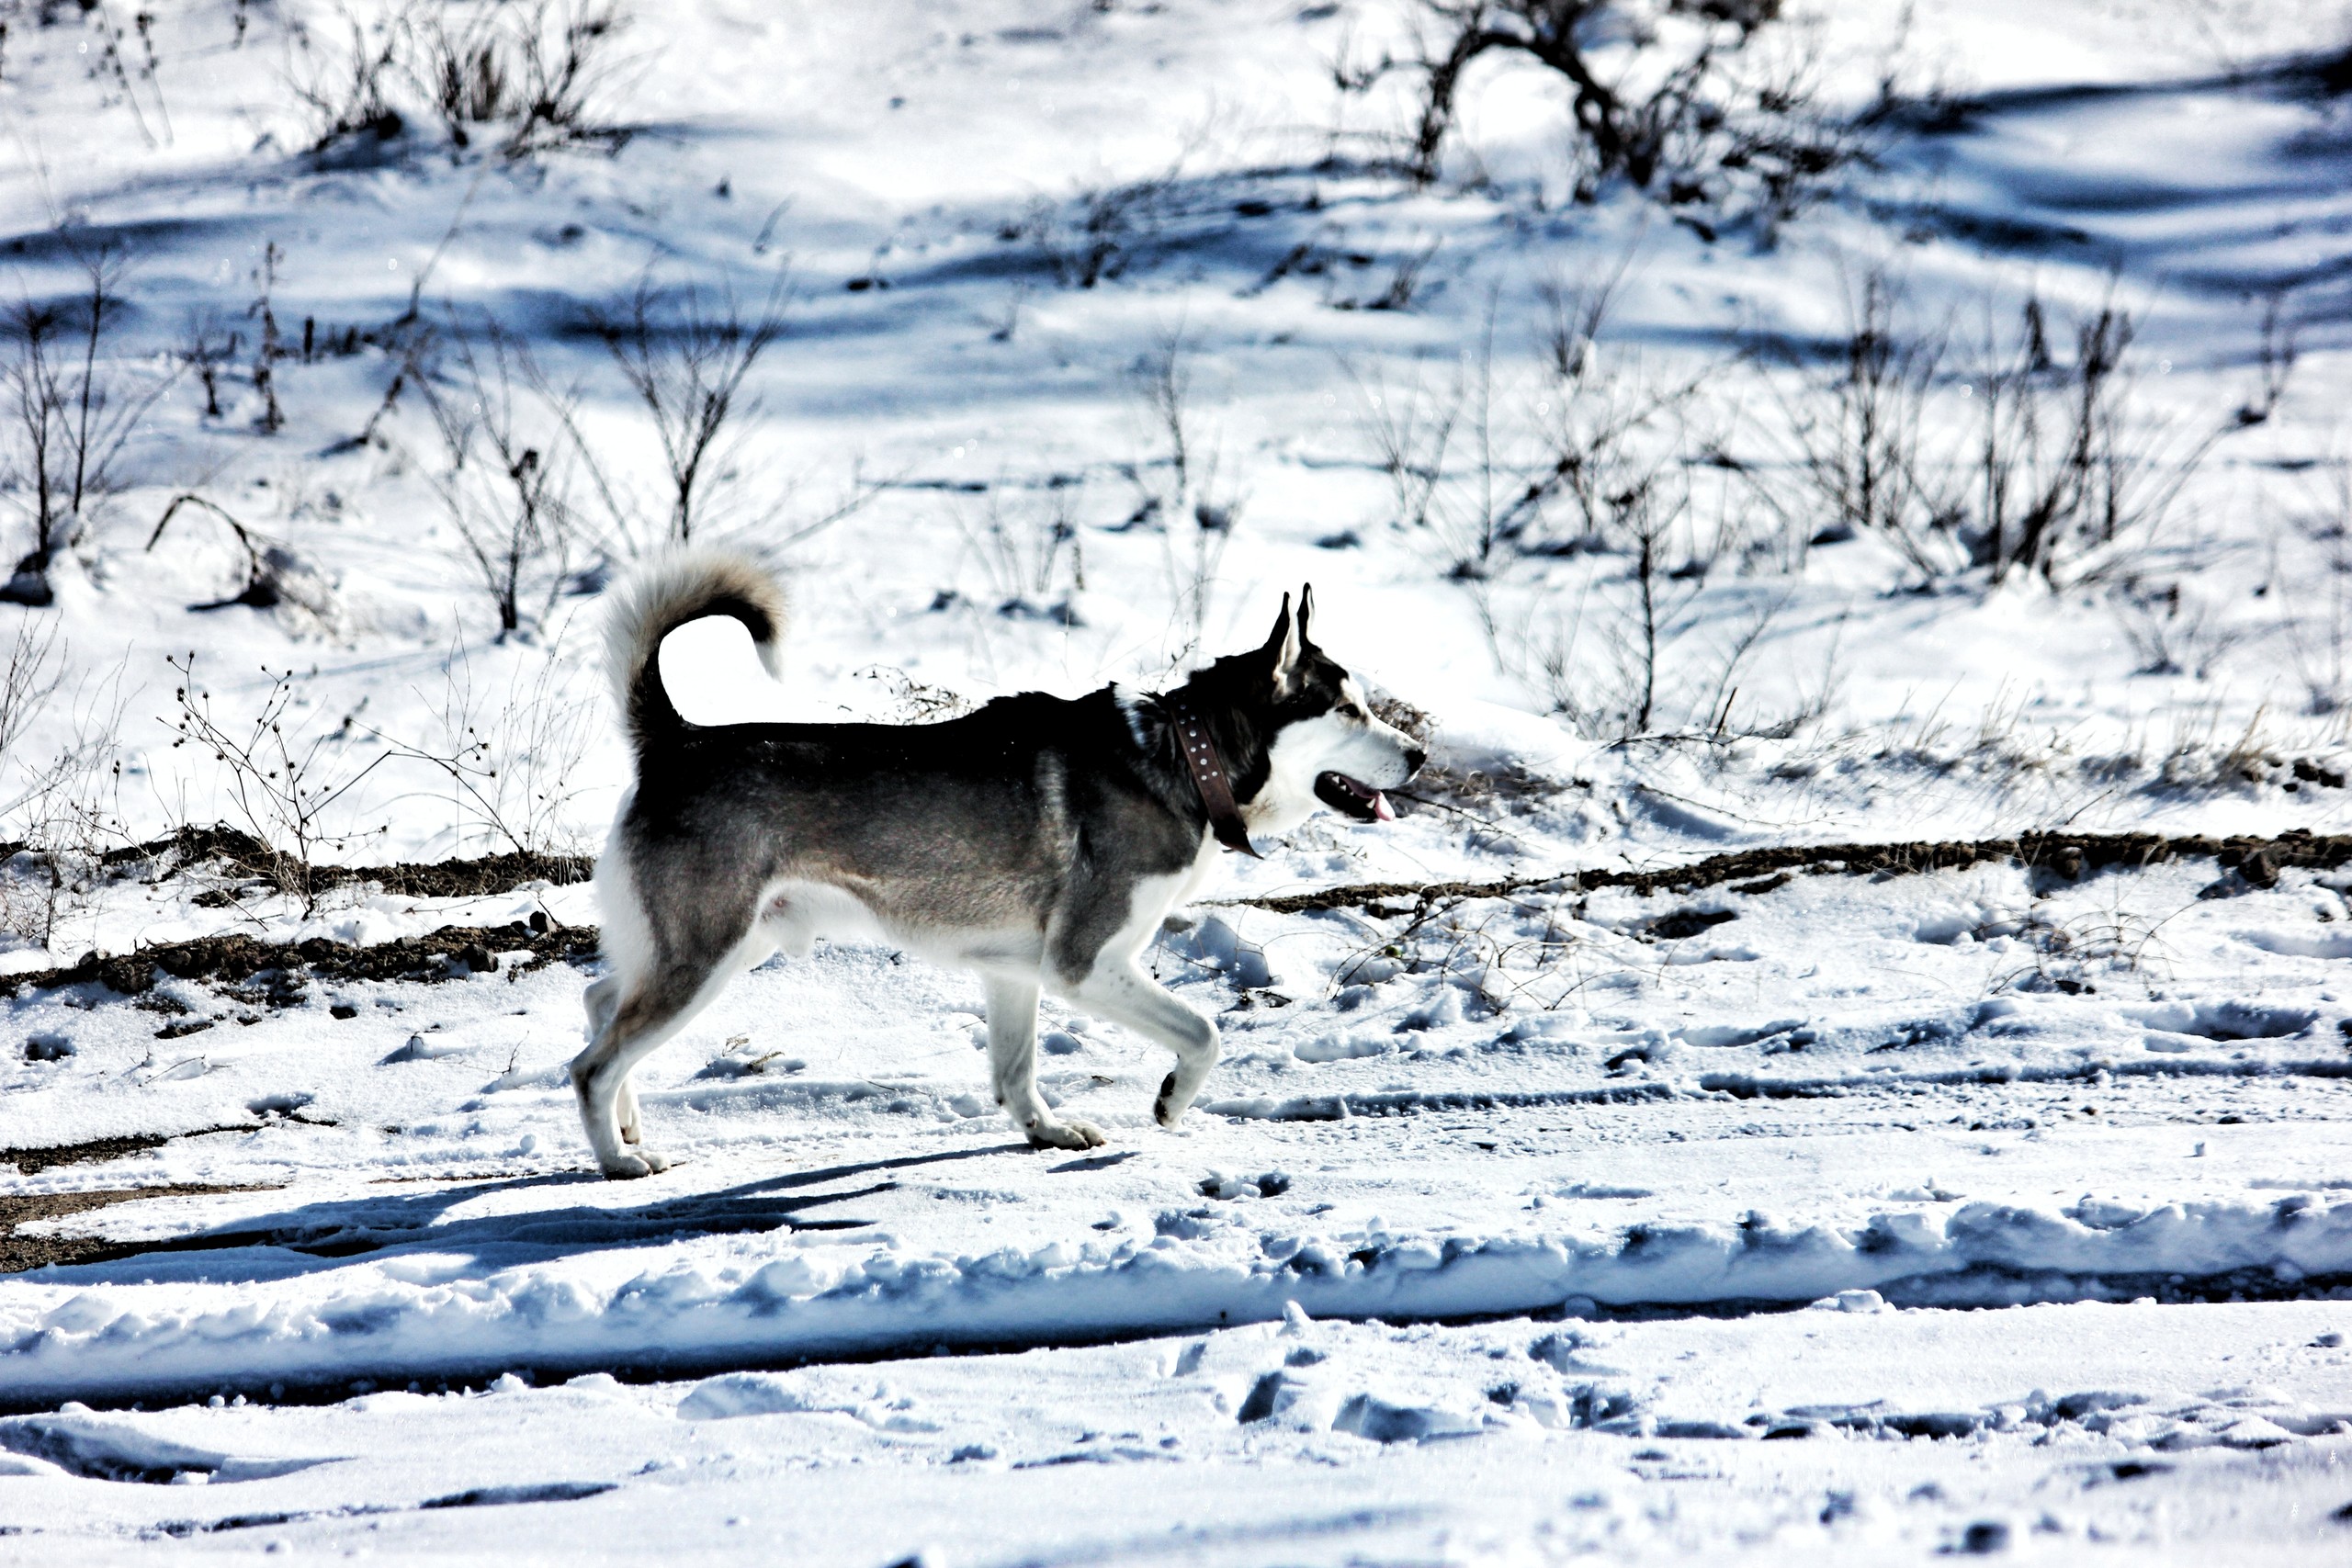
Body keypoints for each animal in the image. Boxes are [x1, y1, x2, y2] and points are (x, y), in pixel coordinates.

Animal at [569, 552, 1420, 1175]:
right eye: (1349, 710)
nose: (1417, 755)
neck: (1183, 753)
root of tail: (679, 739)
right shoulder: (1084, 965)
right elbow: (1205, 1031)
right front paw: (1173, 1101)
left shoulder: (1016, 972)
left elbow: (1015, 1074)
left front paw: (1046, 1130)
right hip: (707, 957)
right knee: (590, 1064)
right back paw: (619, 1160)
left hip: (715, 947)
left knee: (599, 997)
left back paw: (629, 1126)